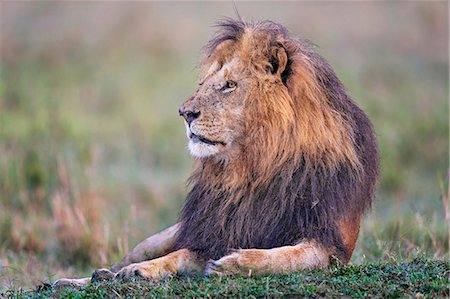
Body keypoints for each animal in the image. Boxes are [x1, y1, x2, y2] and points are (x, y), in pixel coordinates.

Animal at [55, 19, 380, 288]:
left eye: (229, 85)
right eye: (203, 84)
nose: (184, 113)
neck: (255, 166)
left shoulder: (329, 246)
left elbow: (283, 257)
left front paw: (234, 263)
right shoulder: (211, 234)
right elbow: (178, 255)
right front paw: (140, 270)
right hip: (161, 236)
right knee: (123, 260)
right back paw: (81, 279)